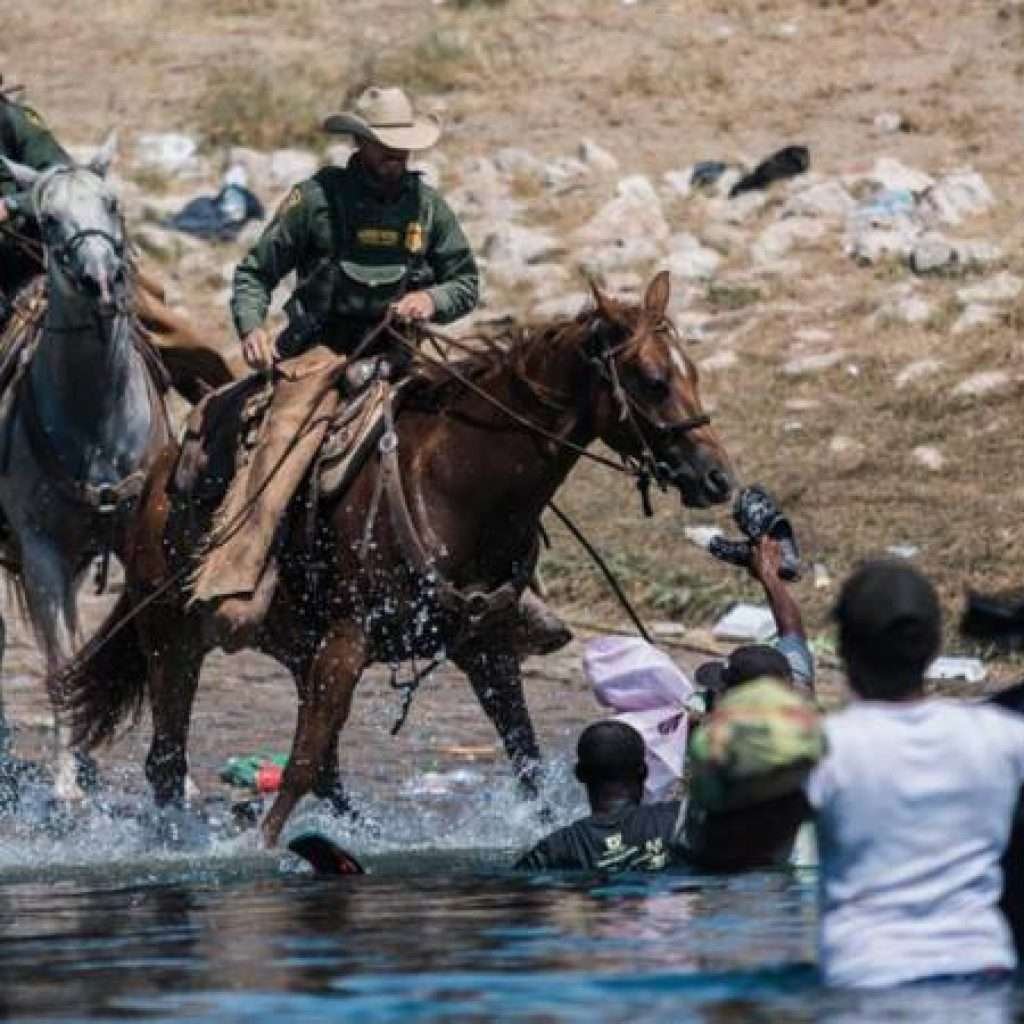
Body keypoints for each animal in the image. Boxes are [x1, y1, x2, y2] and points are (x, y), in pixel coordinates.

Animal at [0, 140, 172, 802]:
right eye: (48, 220)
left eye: (112, 203)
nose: (102, 280)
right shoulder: (41, 551)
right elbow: (58, 663)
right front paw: (66, 782)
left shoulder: (138, 539)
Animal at [64, 268, 733, 843]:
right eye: (652, 380)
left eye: (694, 373)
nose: (718, 477)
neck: (455, 484)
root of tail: (155, 481)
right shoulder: (349, 638)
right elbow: (301, 762)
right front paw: (261, 847)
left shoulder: (484, 646)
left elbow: (526, 757)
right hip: (172, 636)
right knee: (168, 759)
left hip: (292, 645)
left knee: (322, 769)